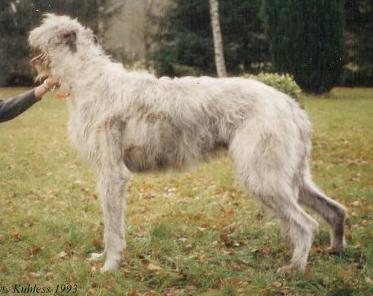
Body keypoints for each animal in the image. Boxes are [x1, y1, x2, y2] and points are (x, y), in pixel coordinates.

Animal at [29, 13, 346, 272]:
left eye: (44, 28)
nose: (29, 37)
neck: (89, 79)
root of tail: (290, 104)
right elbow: (111, 223)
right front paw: (104, 259)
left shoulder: (113, 173)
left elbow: (112, 226)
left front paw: (110, 266)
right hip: (290, 174)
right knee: (334, 210)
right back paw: (335, 250)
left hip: (262, 174)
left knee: (307, 224)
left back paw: (295, 267)